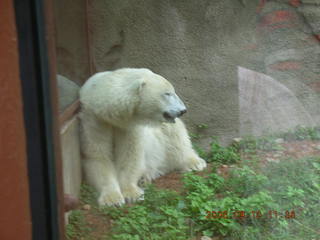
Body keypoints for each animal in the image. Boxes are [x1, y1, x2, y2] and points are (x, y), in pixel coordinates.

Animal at [79, 68, 206, 206]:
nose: (183, 110)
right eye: (167, 93)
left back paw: (194, 163)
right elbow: (98, 156)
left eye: (172, 91)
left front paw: (131, 194)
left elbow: (130, 155)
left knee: (177, 140)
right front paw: (112, 200)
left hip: (164, 128)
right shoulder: (94, 120)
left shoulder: (130, 127)